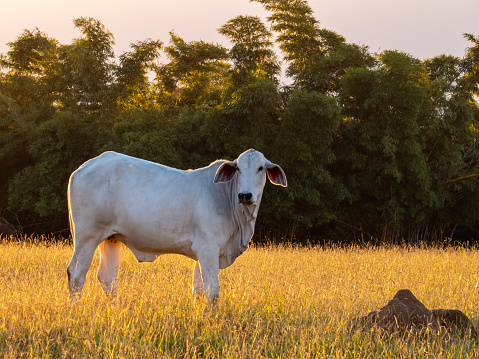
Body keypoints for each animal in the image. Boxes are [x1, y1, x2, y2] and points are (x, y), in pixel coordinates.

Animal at [65, 150, 286, 302]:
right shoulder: (208, 249)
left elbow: (198, 290)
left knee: (108, 278)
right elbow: (213, 292)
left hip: (110, 239)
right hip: (87, 237)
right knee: (76, 275)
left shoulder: (202, 253)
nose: (245, 195)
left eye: (261, 168)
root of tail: (82, 168)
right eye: (238, 168)